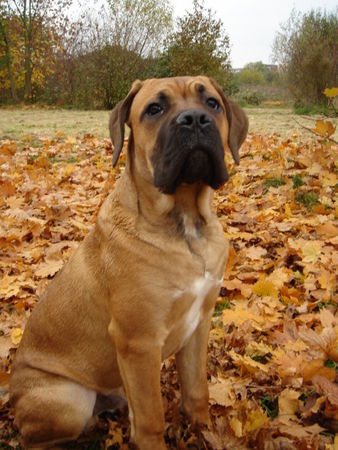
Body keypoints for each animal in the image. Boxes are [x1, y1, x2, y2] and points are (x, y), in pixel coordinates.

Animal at [9, 75, 248, 448]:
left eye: (212, 103)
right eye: (154, 109)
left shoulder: (199, 323)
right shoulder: (139, 342)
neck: (185, 224)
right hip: (69, 400)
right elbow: (151, 418)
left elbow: (197, 391)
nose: (195, 120)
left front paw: (204, 432)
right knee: (37, 439)